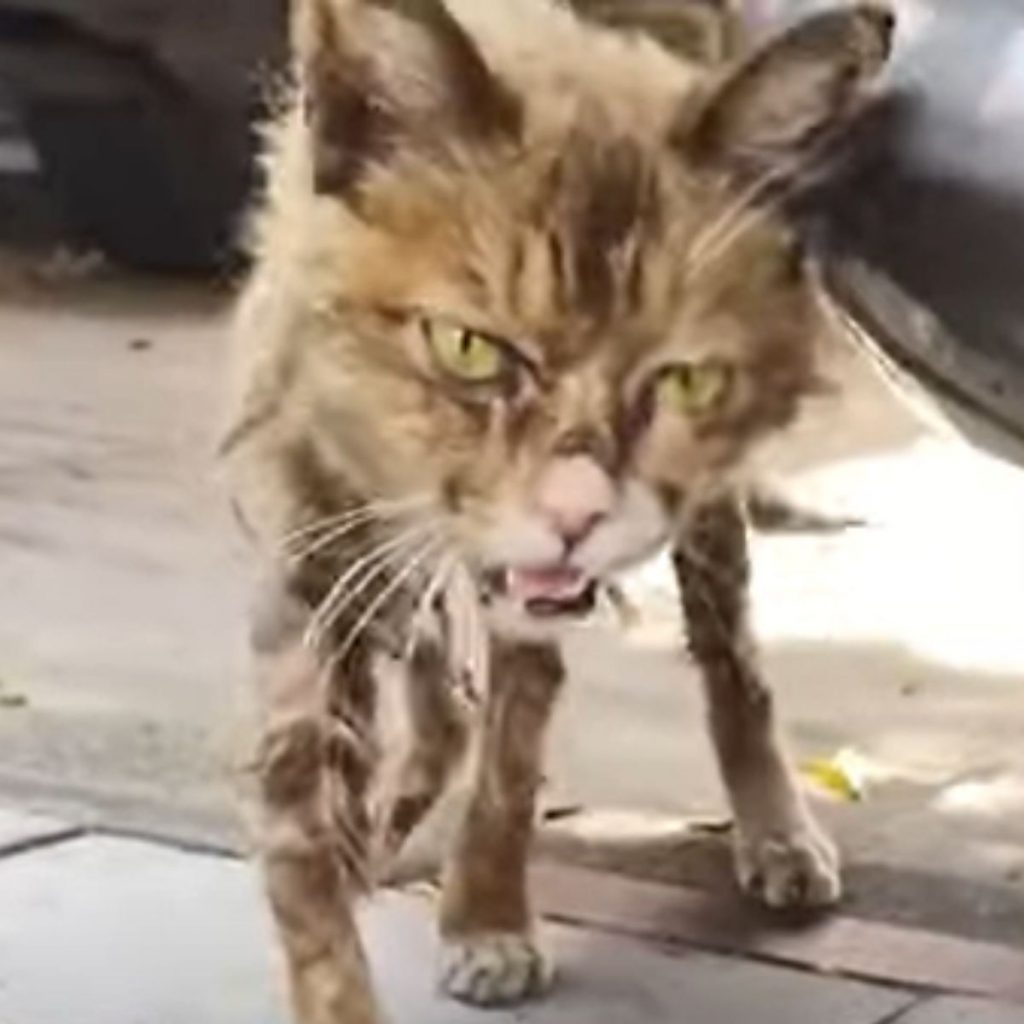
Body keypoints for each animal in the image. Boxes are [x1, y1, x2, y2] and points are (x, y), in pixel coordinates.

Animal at [222, 4, 888, 1019]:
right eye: (467, 348)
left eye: (686, 381)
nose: (578, 517)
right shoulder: (308, 545)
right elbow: (305, 837)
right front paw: (340, 948)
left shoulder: (533, 603)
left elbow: (512, 751)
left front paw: (485, 915)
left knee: (730, 661)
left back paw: (772, 823)